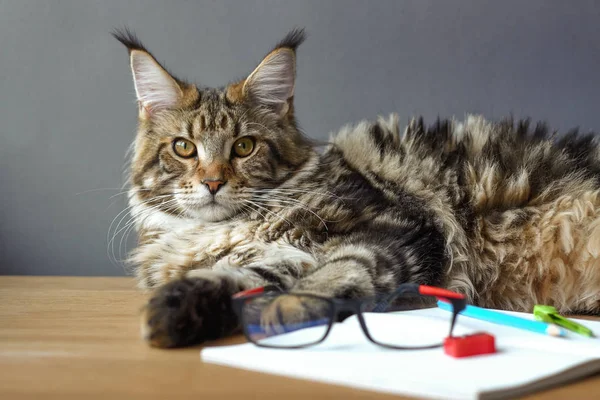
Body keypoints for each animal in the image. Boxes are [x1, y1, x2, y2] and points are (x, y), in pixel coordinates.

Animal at [113, 28, 600, 346]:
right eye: (184, 148)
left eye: (244, 147)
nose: (213, 182)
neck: (227, 228)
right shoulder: (277, 255)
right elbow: (239, 278)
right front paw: (176, 312)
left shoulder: (397, 225)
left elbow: (343, 269)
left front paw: (287, 308)